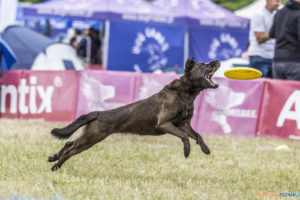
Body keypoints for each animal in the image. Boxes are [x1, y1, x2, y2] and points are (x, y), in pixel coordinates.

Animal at [47, 57, 220, 170]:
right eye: (203, 65)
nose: (218, 60)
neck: (185, 93)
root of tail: (98, 113)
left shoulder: (184, 124)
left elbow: (198, 136)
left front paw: (205, 149)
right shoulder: (164, 123)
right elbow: (185, 137)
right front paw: (187, 151)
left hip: (90, 138)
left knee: (69, 143)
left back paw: (53, 158)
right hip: (92, 137)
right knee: (70, 148)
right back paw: (56, 165)